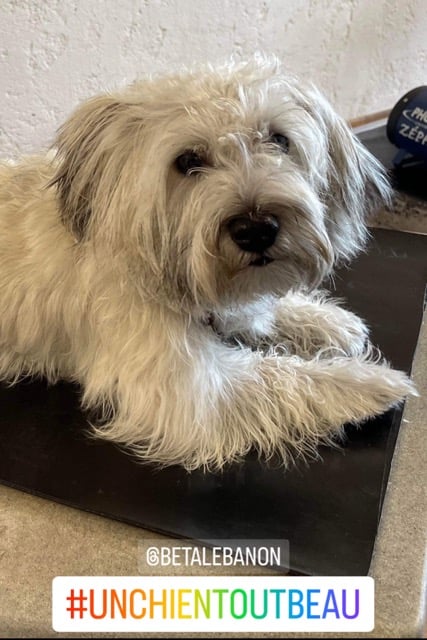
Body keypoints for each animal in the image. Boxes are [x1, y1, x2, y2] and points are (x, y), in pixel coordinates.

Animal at [0, 55, 415, 470]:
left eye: (279, 140)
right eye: (187, 161)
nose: (256, 230)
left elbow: (261, 312)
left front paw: (321, 321)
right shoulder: (191, 394)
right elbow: (281, 378)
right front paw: (367, 382)